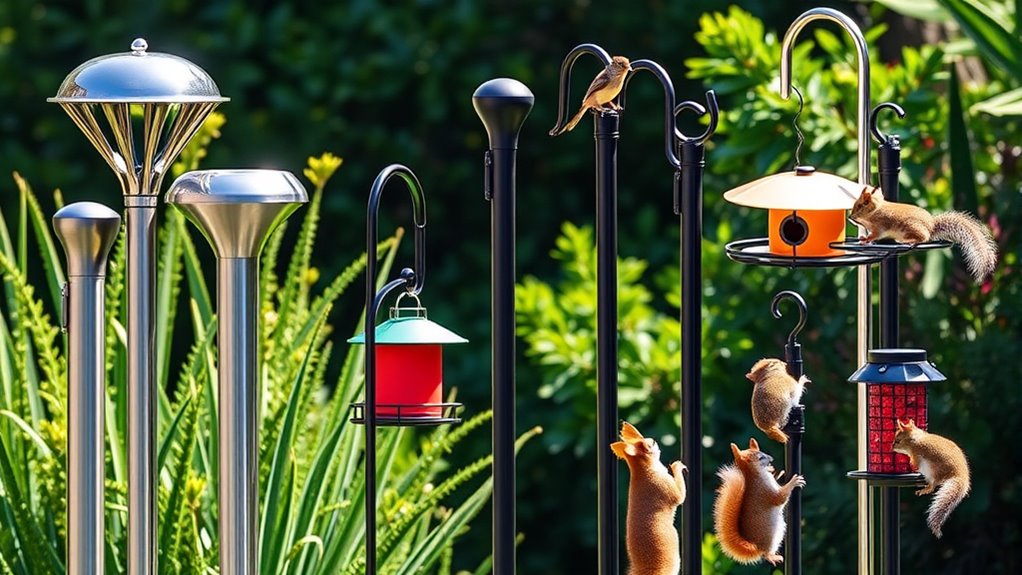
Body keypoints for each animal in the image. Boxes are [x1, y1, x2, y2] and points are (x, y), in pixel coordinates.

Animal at [610, 421, 686, 575]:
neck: (644, 471)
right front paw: (677, 466)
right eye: (651, 443)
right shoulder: (675, 493)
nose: (654, 439)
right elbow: (680, 490)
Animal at [713, 438, 805, 566]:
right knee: (766, 555)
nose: (771, 459)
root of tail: (756, 547)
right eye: (760, 457)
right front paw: (793, 481)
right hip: (771, 537)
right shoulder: (765, 491)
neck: (754, 475)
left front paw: (777, 473)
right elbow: (779, 498)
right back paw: (773, 557)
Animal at [849, 186, 997, 283]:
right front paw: (863, 237)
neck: (874, 211)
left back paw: (909, 241)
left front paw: (866, 239)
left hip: (912, 228)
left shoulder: (880, 225)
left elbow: (875, 235)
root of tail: (931, 226)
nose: (850, 216)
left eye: (861, 205)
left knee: (923, 238)